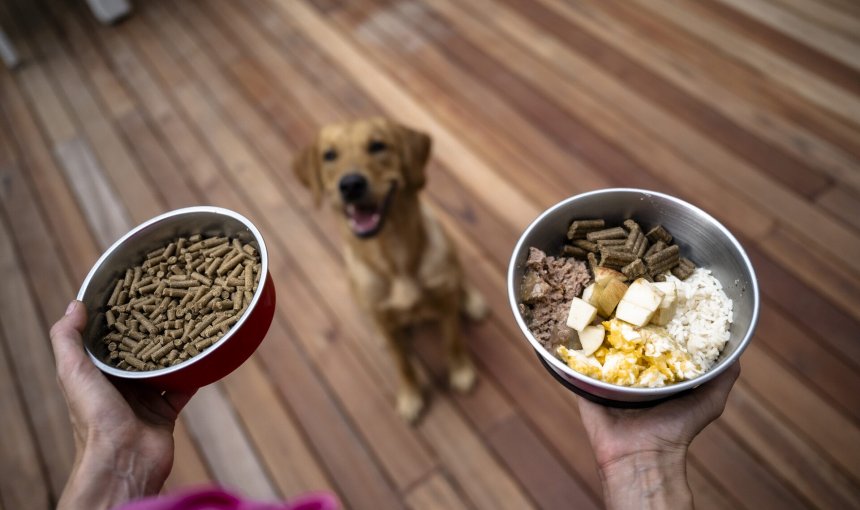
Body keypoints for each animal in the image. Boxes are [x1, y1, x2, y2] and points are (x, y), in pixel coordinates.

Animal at [294, 117, 484, 420]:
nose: (351, 184)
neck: (394, 254)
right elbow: (402, 363)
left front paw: (460, 370)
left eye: (377, 145)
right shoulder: (386, 321)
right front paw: (410, 395)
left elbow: (453, 339)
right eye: (329, 155)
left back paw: (471, 300)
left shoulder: (445, 304)